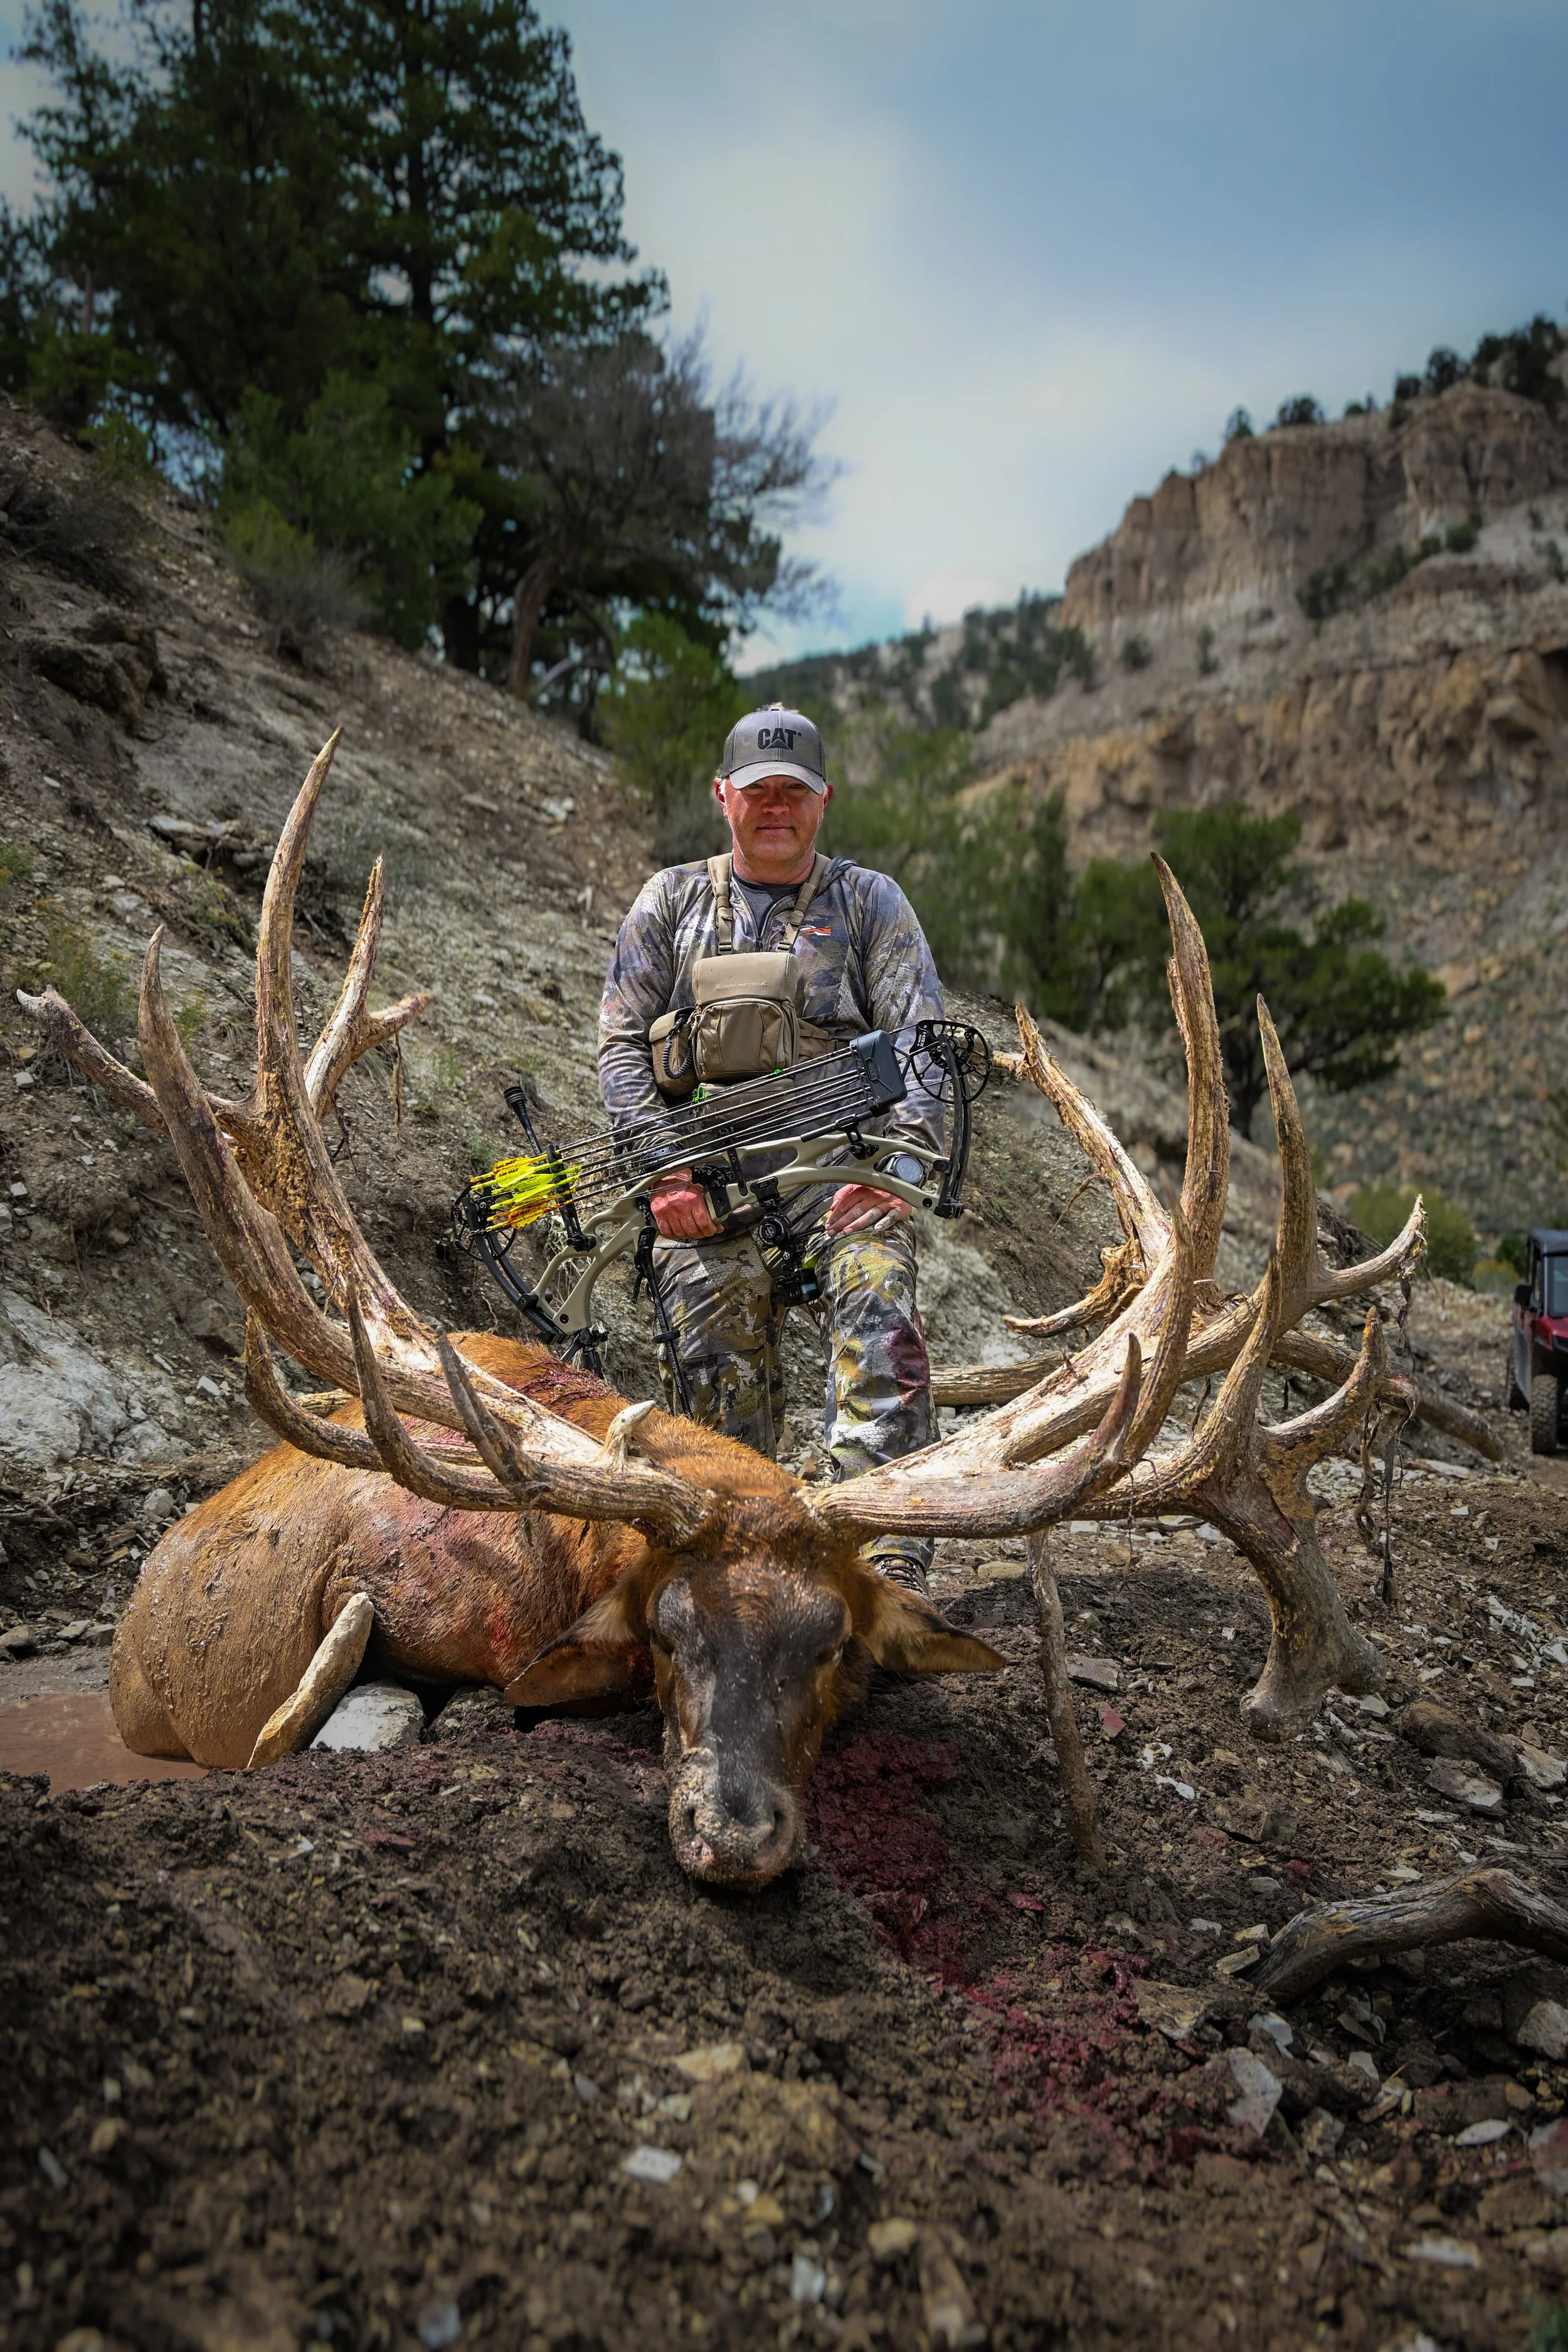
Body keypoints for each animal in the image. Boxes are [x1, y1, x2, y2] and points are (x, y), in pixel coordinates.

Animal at [21, 734, 1495, 1891]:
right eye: (667, 1637)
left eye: (833, 1648)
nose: (734, 1836)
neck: (561, 1570)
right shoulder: (383, 1580)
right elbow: (323, 1694)